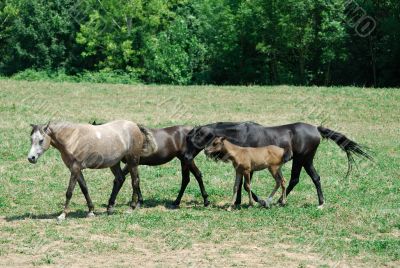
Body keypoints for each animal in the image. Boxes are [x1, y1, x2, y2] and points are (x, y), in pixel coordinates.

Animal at [27, 120, 156, 220]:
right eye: (31, 139)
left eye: (41, 140)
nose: (31, 158)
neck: (73, 139)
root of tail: (135, 126)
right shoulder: (76, 169)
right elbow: (84, 188)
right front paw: (91, 211)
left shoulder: (75, 169)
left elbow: (69, 192)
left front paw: (62, 215)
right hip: (115, 164)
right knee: (120, 179)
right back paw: (110, 208)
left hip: (132, 162)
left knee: (135, 181)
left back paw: (132, 207)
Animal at [181, 121, 372, 207]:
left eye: (198, 136)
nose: (186, 156)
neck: (242, 136)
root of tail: (316, 129)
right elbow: (241, 185)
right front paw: (239, 203)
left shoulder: (250, 167)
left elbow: (245, 186)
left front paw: (258, 201)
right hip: (305, 160)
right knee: (313, 178)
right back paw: (318, 201)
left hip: (301, 159)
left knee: (295, 179)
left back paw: (280, 200)